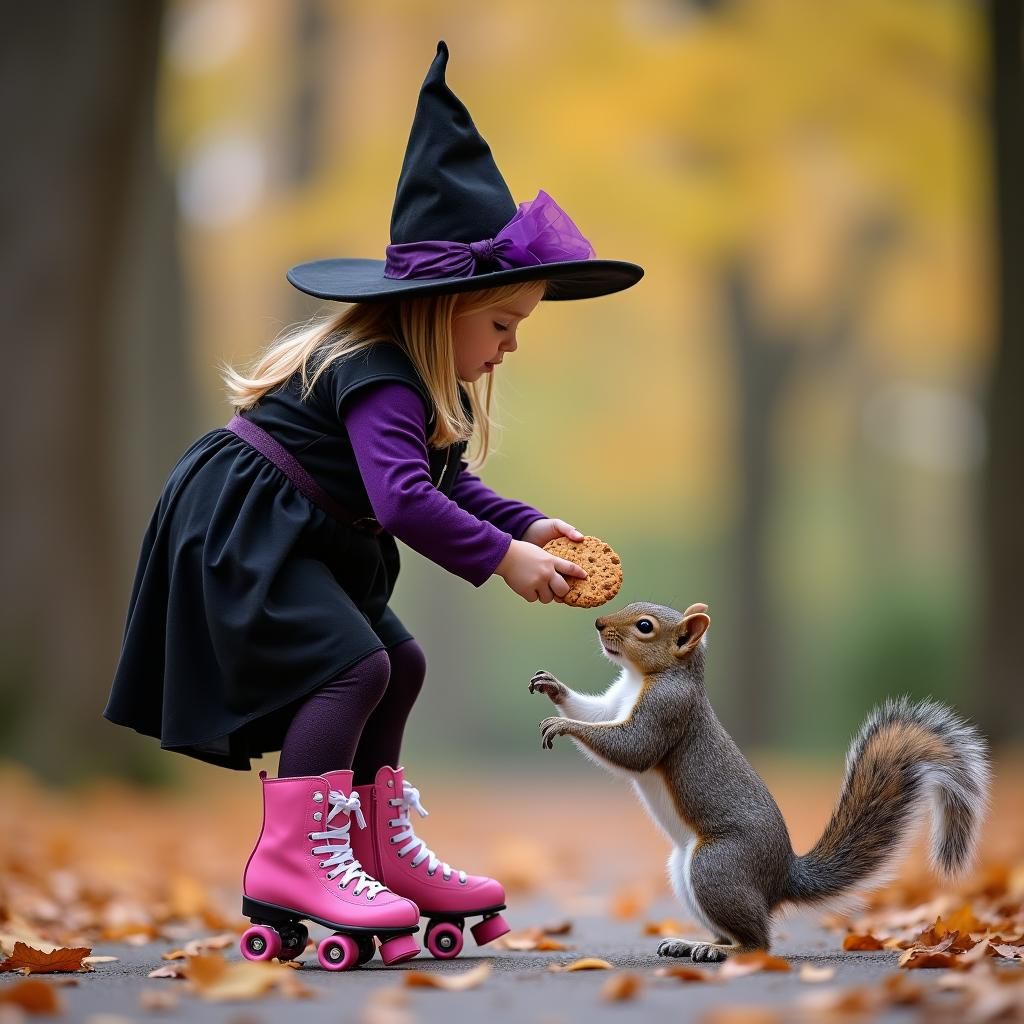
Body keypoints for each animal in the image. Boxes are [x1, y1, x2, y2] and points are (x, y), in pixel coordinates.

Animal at [529, 601, 990, 963]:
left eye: (645, 626)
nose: (598, 623)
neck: (641, 678)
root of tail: (780, 875)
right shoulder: (614, 703)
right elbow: (595, 712)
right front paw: (554, 689)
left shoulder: (668, 709)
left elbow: (633, 748)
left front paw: (563, 725)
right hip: (687, 873)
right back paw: (691, 943)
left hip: (717, 866)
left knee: (759, 941)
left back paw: (721, 950)